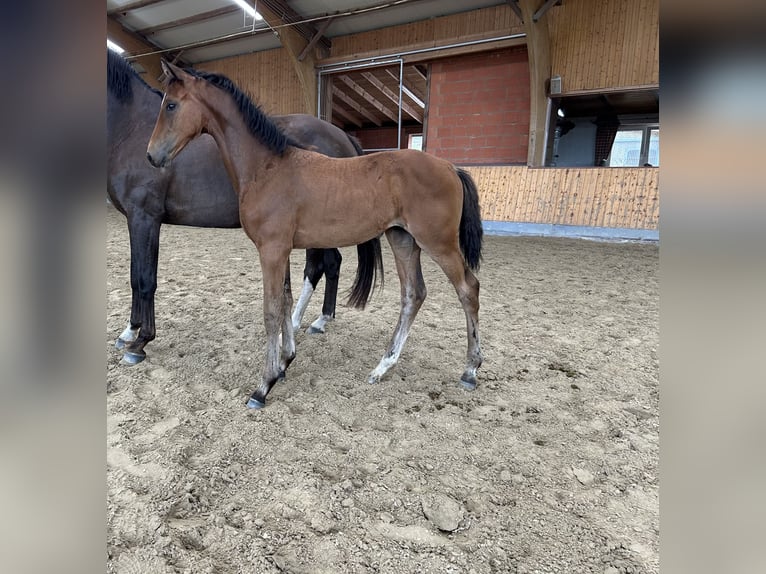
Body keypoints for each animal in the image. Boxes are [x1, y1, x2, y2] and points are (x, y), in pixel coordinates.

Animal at [107, 50, 381, 364]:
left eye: (172, 105)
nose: (153, 156)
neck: (132, 127)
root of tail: (342, 136)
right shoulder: (136, 219)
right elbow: (133, 275)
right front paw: (128, 332)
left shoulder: (144, 217)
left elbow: (144, 278)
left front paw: (140, 341)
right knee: (328, 264)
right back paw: (315, 319)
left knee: (321, 266)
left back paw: (307, 321)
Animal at [146, 60, 484, 409]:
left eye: (171, 105)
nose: (152, 155)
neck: (267, 168)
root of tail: (450, 167)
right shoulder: (281, 250)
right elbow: (286, 301)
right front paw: (284, 364)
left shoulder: (271, 250)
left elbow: (271, 311)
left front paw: (263, 385)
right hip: (402, 239)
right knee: (413, 294)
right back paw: (383, 366)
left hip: (439, 243)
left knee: (468, 289)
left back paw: (470, 370)